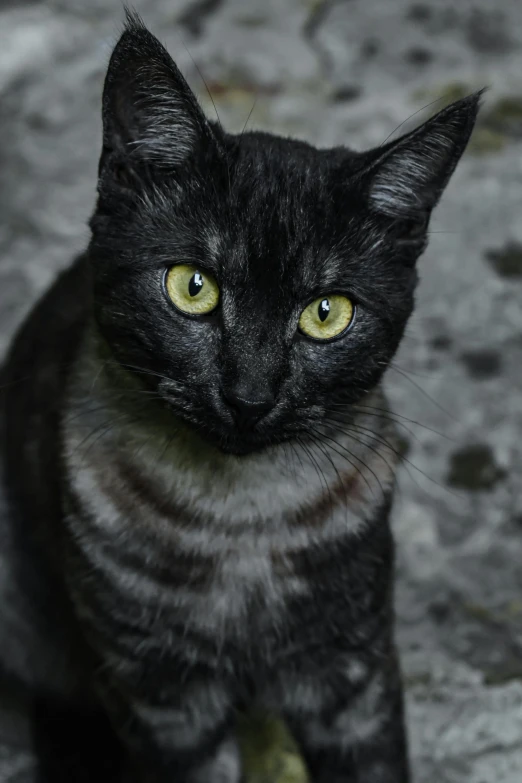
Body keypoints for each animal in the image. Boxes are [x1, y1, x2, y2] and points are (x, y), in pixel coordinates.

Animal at [0, 10, 478, 783]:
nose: (250, 395)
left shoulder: (355, 671)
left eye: (327, 313)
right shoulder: (163, 700)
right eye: (192, 287)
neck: (242, 524)